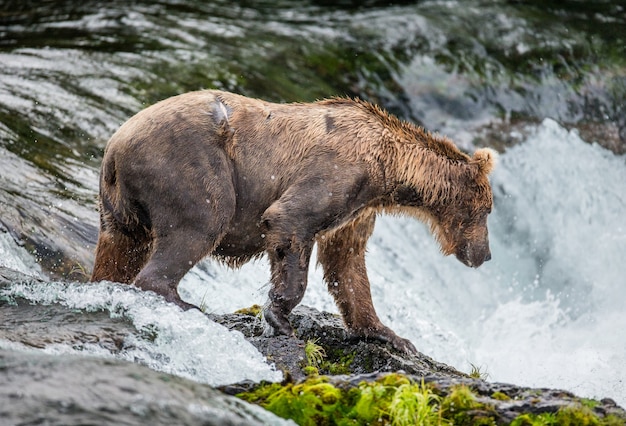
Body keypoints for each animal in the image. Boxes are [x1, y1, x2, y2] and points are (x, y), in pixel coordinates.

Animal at [90, 90, 494, 352]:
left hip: (117, 206)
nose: (486, 254)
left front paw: (390, 335)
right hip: (190, 165)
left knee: (120, 249)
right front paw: (280, 317)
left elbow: (348, 266)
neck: (388, 170)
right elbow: (291, 223)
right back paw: (186, 304)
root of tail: (116, 144)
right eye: (487, 210)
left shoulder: (358, 209)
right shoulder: (337, 173)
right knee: (199, 224)